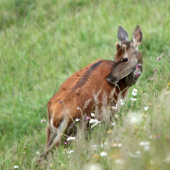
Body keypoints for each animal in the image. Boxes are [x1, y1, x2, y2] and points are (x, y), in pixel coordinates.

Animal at [36, 25, 142, 163]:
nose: (110, 79)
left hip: (51, 129)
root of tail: (55, 115)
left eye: (124, 59)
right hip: (71, 129)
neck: (125, 84)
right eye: (116, 57)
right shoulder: (112, 107)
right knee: (43, 156)